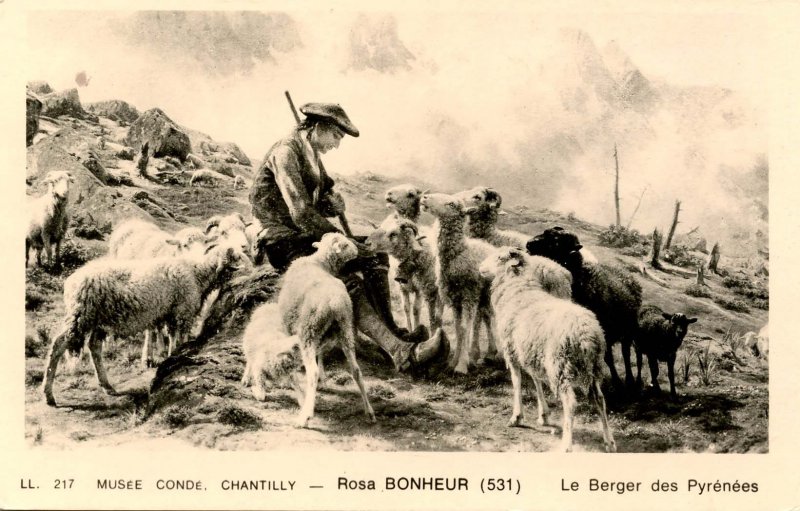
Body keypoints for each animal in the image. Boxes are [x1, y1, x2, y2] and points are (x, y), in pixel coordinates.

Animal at [43, 244, 250, 408]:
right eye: (239, 258)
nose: (253, 270)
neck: (198, 273)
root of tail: (70, 282)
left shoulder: (170, 315)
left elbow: (172, 340)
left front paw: (170, 361)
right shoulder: (181, 313)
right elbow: (178, 341)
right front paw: (175, 360)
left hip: (97, 320)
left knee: (94, 346)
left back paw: (107, 386)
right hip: (81, 314)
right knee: (58, 344)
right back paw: (48, 395)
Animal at [276, 234, 376, 430]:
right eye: (345, 244)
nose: (357, 250)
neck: (317, 261)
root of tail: (335, 302)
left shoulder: (289, 327)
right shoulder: (323, 336)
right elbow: (321, 354)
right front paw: (323, 377)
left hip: (309, 330)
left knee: (312, 372)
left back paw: (305, 415)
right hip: (344, 330)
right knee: (356, 370)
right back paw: (369, 412)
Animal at [418, 194, 494, 374]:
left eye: (451, 204)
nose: (424, 197)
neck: (458, 253)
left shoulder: (468, 296)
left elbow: (465, 327)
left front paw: (461, 366)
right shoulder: (455, 299)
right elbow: (459, 329)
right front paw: (452, 363)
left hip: (486, 294)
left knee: (490, 318)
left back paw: (494, 353)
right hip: (480, 297)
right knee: (483, 318)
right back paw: (479, 354)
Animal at [478, 247, 616, 452]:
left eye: (498, 257)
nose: (480, 267)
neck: (519, 291)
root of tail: (587, 335)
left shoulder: (512, 351)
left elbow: (517, 382)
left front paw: (517, 417)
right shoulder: (530, 351)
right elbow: (536, 381)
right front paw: (543, 414)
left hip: (561, 365)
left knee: (571, 404)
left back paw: (567, 443)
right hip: (592, 368)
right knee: (599, 399)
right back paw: (609, 441)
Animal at [524, 226, 644, 390]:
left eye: (556, 241)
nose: (528, 244)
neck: (582, 281)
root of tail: (626, 274)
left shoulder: (603, 331)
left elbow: (608, 358)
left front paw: (616, 382)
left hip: (629, 329)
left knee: (627, 354)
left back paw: (631, 381)